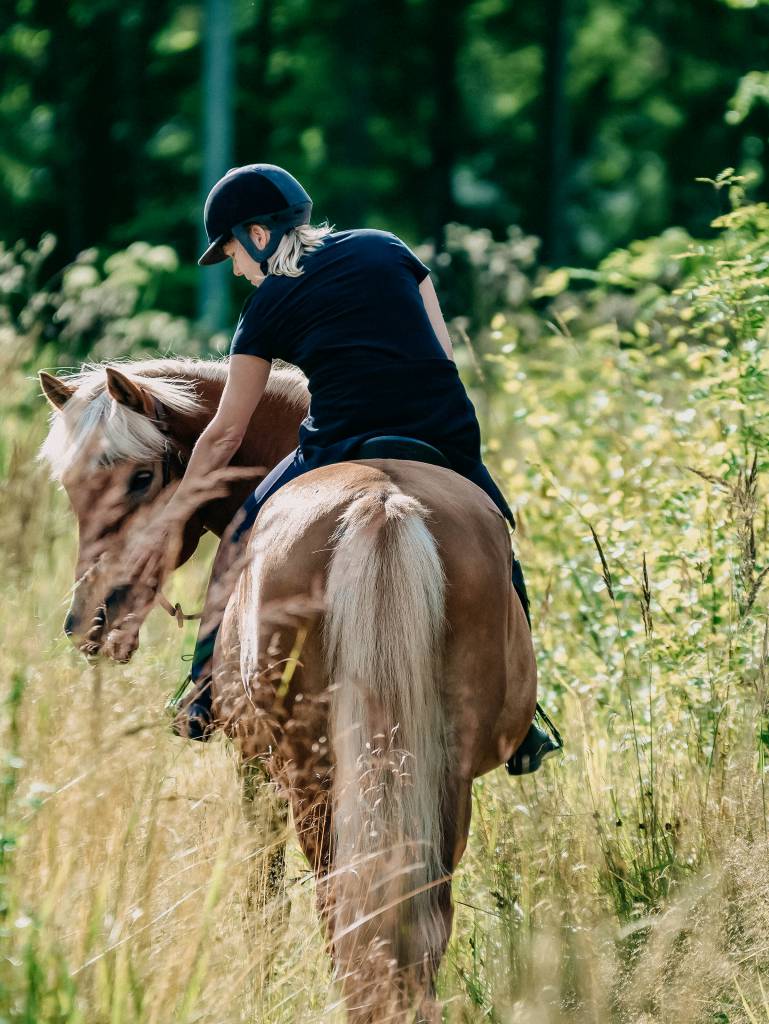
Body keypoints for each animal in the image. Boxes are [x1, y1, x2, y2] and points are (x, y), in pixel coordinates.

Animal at [38, 357, 537, 1022]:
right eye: (71, 487)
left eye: (141, 477)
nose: (89, 621)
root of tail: (380, 504)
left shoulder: (252, 764)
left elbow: (262, 899)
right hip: (439, 772)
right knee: (417, 911)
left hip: (310, 773)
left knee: (337, 903)